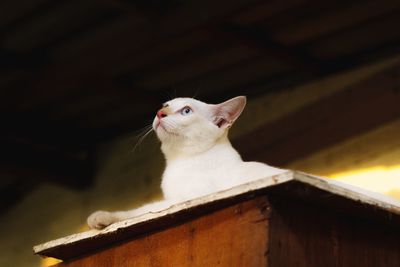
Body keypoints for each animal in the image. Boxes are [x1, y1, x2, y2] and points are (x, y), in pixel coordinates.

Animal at [89, 96, 286, 230]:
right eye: (165, 106)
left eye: (186, 111)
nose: (160, 113)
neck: (178, 159)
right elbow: (139, 210)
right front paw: (101, 218)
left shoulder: (184, 200)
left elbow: (144, 210)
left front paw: (100, 217)